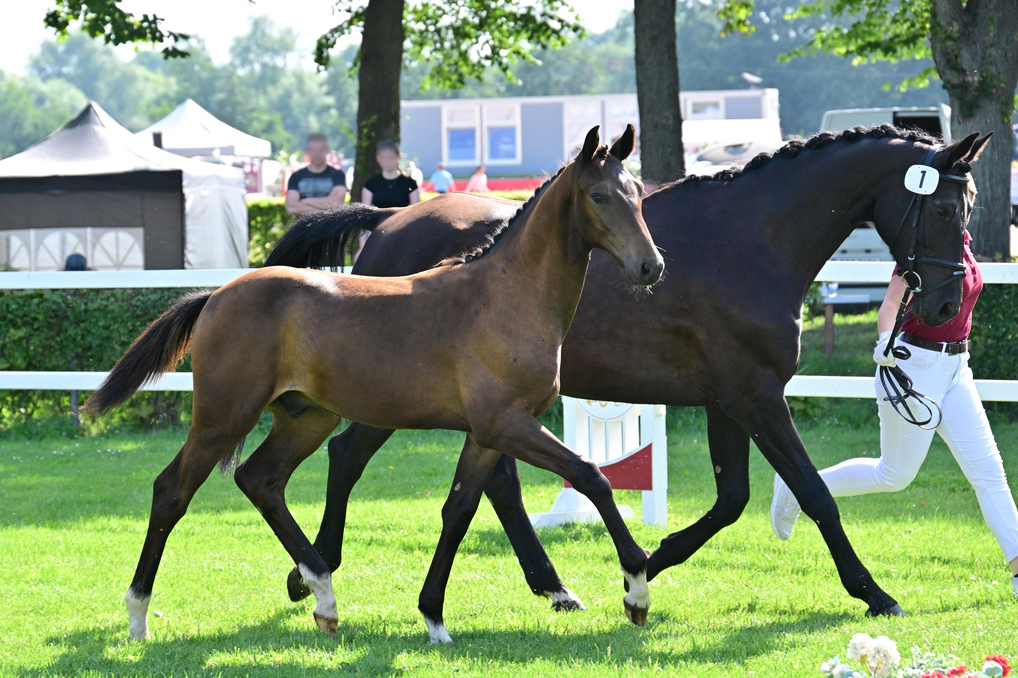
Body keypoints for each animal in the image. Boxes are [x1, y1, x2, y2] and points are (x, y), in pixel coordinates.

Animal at [83, 125, 663, 639]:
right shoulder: (507, 423)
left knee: (261, 479)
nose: (650, 266)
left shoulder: (487, 434)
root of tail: (216, 296)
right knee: (172, 491)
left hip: (305, 419)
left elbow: (459, 509)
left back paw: (320, 592)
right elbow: (592, 476)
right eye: (599, 195)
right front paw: (636, 588)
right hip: (223, 416)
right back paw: (139, 615)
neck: (504, 295)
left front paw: (433, 616)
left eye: (638, 195)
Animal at [266, 125, 989, 618]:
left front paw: (650, 563)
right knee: (349, 455)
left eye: (969, 207)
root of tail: (389, 221)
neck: (751, 240)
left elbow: (732, 500)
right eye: (944, 209)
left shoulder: (727, 401)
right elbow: (813, 494)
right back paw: (314, 569)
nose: (946, 304)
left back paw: (550, 585)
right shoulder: (756, 397)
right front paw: (875, 593)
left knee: (475, 479)